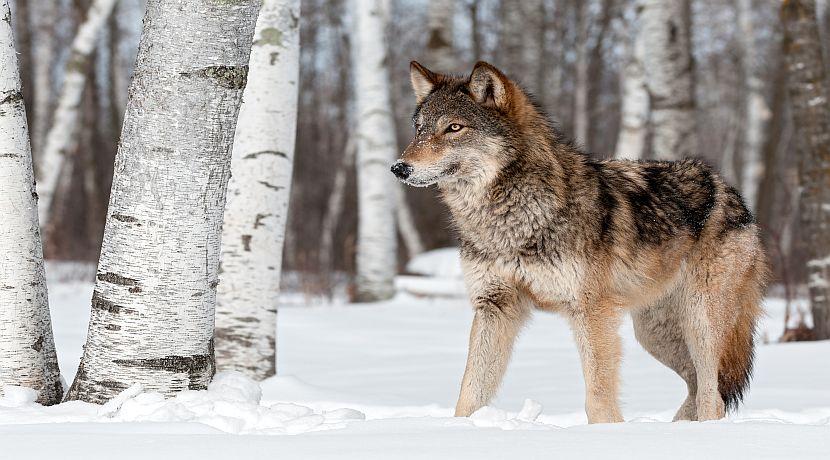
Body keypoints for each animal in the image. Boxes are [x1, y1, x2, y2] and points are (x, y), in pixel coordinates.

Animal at [391, 61, 767, 423]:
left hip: (700, 324)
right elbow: (470, 392)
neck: (512, 219)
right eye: (419, 130)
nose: (399, 168)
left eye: (454, 128)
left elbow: (598, 398)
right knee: (698, 386)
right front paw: (460, 428)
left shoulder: (591, 312)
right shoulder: (494, 306)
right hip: (654, 335)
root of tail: (730, 190)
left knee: (711, 396)